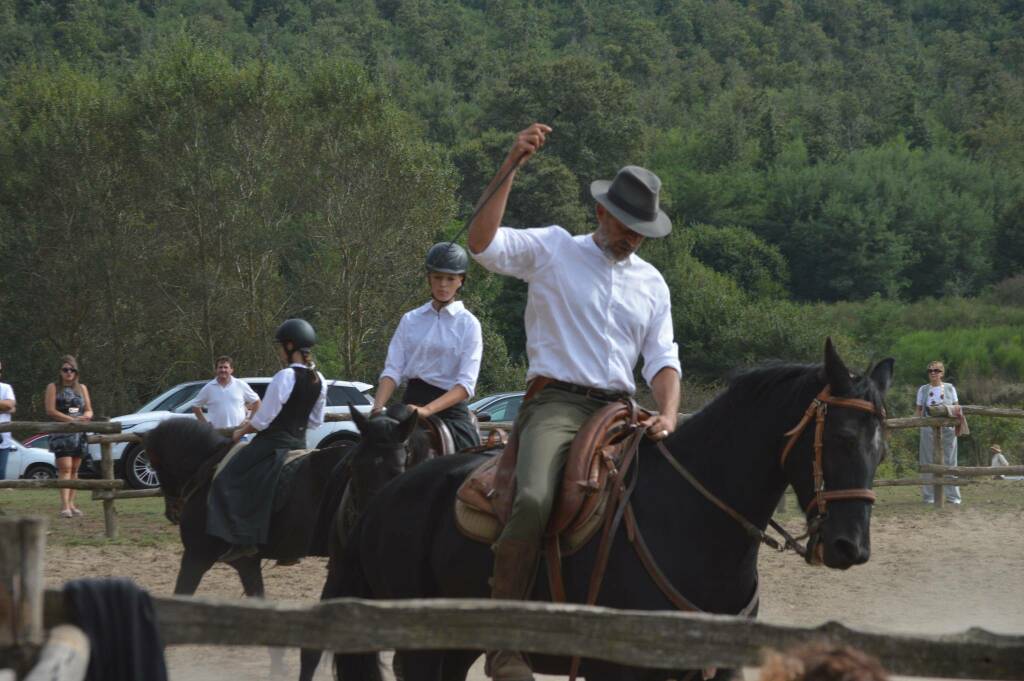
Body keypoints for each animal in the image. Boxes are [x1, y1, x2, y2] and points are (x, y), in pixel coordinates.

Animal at [323, 342, 892, 679]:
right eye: (842, 438)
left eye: (882, 448)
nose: (851, 547)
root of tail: (383, 504)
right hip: (420, 644)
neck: (690, 518)